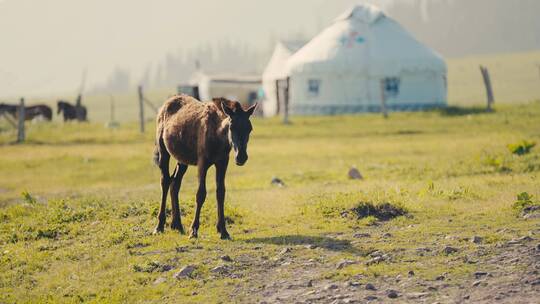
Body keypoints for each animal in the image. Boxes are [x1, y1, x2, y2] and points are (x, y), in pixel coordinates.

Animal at [153, 95, 256, 240]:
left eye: (249, 128)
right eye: (231, 127)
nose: (241, 157)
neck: (219, 136)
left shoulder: (222, 162)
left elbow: (221, 193)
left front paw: (223, 230)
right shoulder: (202, 162)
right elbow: (201, 194)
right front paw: (193, 230)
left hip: (182, 160)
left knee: (175, 183)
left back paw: (177, 224)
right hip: (163, 151)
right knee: (165, 181)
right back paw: (159, 226)